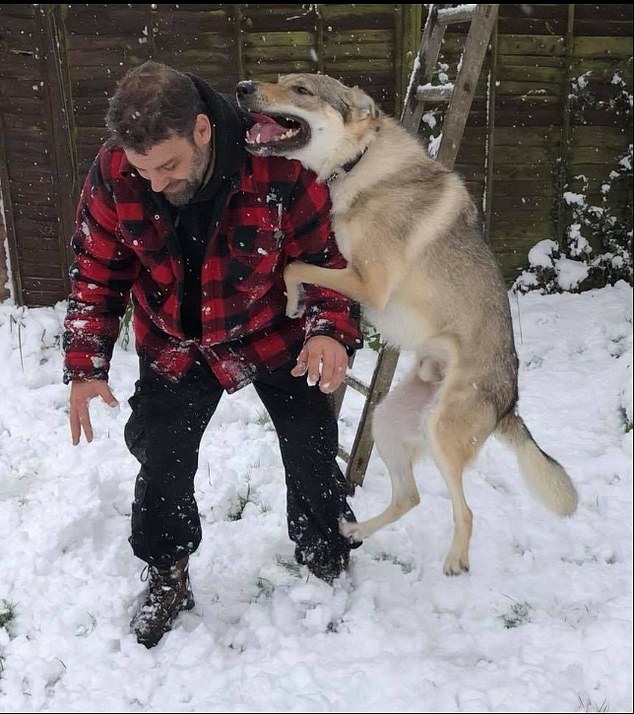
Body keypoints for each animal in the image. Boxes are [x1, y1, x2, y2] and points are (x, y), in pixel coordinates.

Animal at [235, 73, 576, 572]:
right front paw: (298, 306)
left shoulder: (368, 282)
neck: (359, 164)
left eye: (301, 90)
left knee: (465, 511)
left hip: (441, 435)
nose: (242, 88)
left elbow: (292, 267)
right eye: (278, 81)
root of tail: (509, 403)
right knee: (409, 498)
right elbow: (295, 266)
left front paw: (294, 302)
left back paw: (456, 561)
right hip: (388, 422)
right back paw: (356, 529)